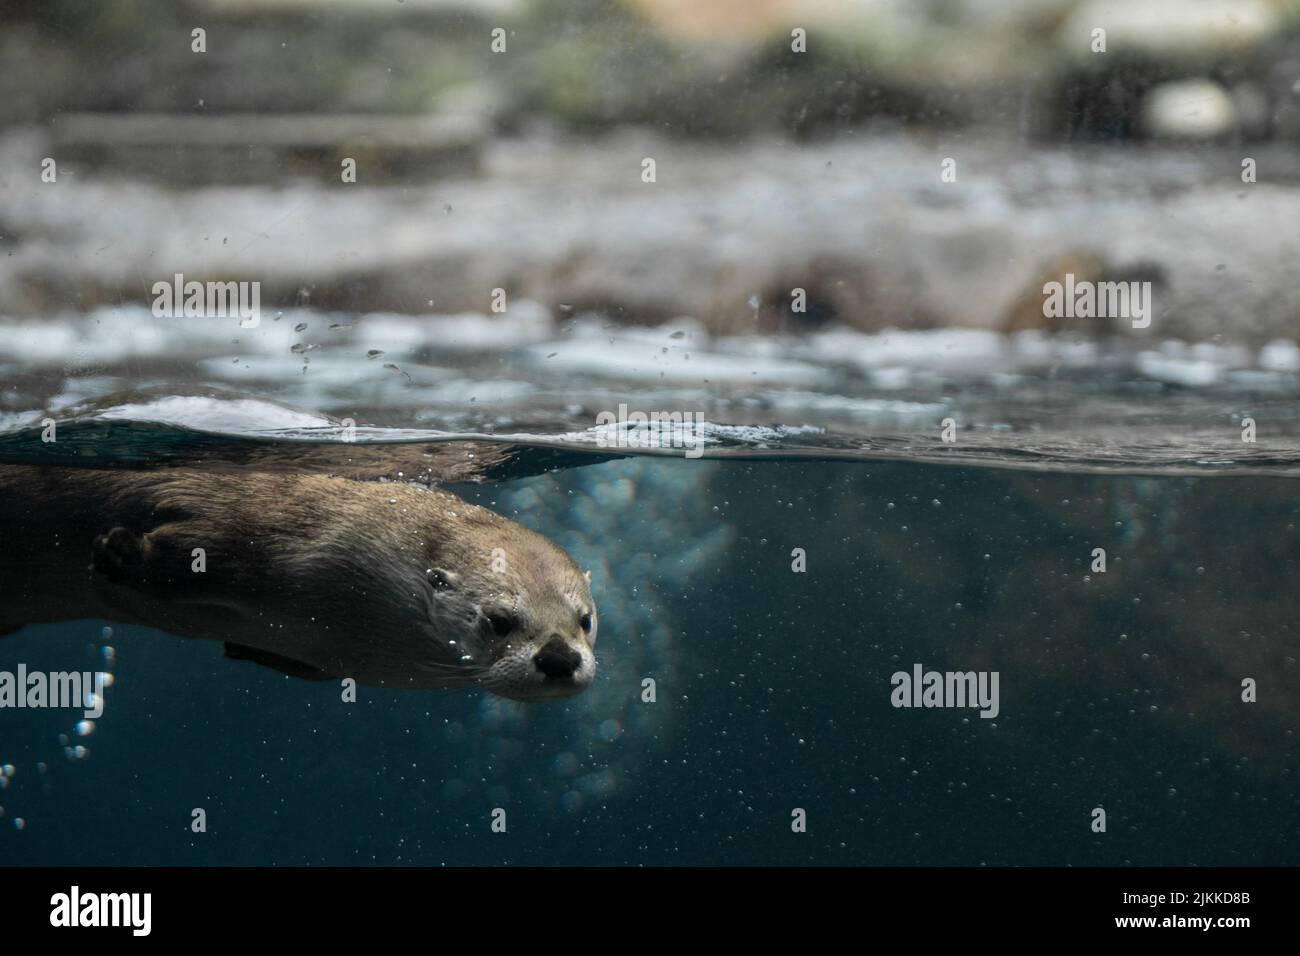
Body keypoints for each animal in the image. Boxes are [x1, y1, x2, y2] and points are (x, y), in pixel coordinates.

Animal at [0, 465, 597, 701]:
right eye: (499, 620)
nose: (560, 657)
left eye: (586, 619)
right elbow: (187, 550)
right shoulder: (258, 524)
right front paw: (118, 553)